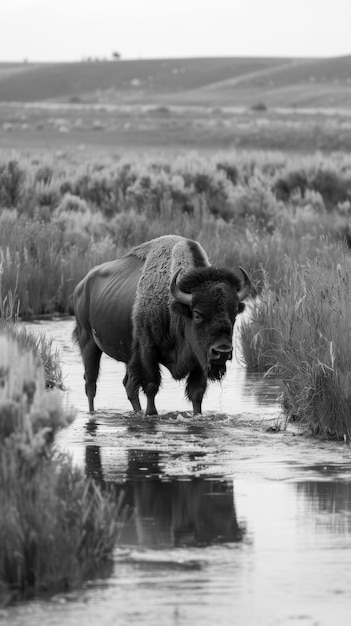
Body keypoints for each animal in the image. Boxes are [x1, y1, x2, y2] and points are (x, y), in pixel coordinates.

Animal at [73, 234, 252, 414]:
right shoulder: (148, 351)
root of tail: (81, 285)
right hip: (88, 342)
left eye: (234, 313)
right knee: (91, 383)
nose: (222, 352)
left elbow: (196, 393)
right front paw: (151, 413)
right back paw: (92, 412)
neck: (174, 307)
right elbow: (151, 387)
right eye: (197, 314)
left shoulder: (199, 358)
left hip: (127, 357)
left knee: (128, 385)